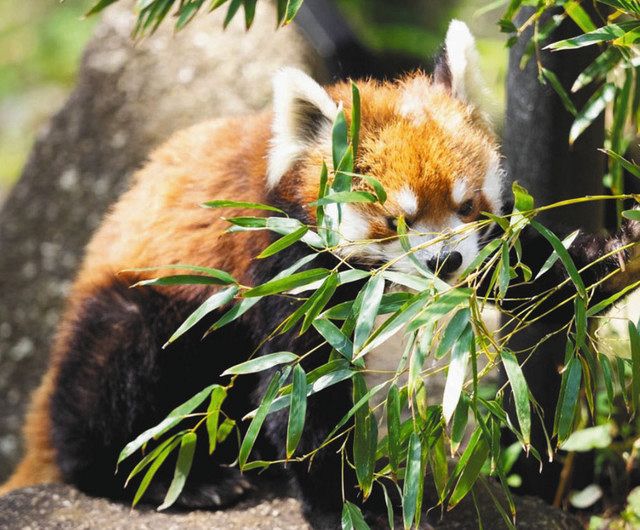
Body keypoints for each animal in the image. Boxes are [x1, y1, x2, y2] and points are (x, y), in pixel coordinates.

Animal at [3, 19, 640, 520]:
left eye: (466, 208)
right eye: (396, 220)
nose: (445, 260)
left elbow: (534, 271)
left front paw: (610, 255)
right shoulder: (287, 266)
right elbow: (300, 386)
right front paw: (352, 501)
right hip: (151, 300)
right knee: (120, 371)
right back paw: (170, 480)